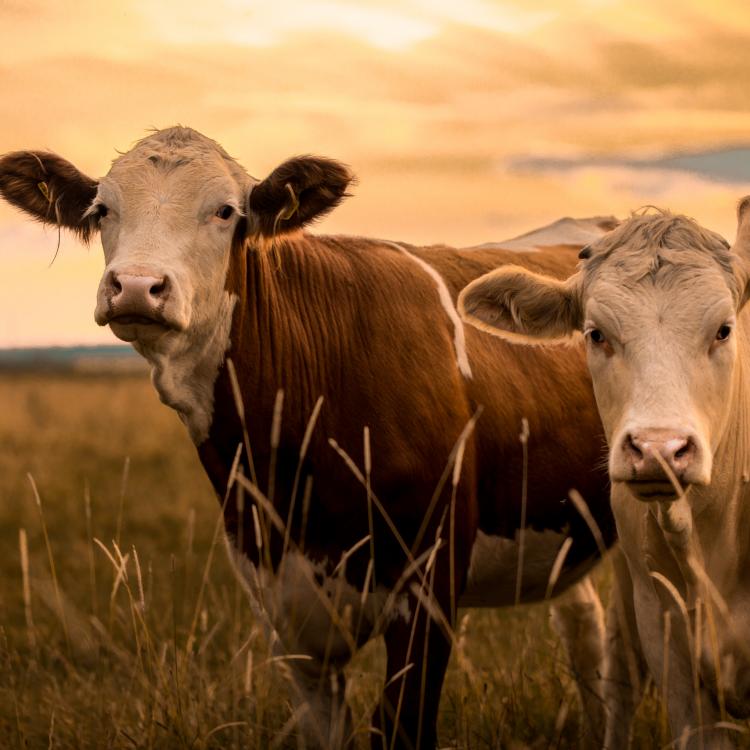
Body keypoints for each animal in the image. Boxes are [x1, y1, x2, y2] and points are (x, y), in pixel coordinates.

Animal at [0, 126, 617, 749]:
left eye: (226, 211)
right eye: (103, 210)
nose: (134, 287)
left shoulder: (430, 585)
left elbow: (399, 726)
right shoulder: (281, 606)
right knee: (586, 632)